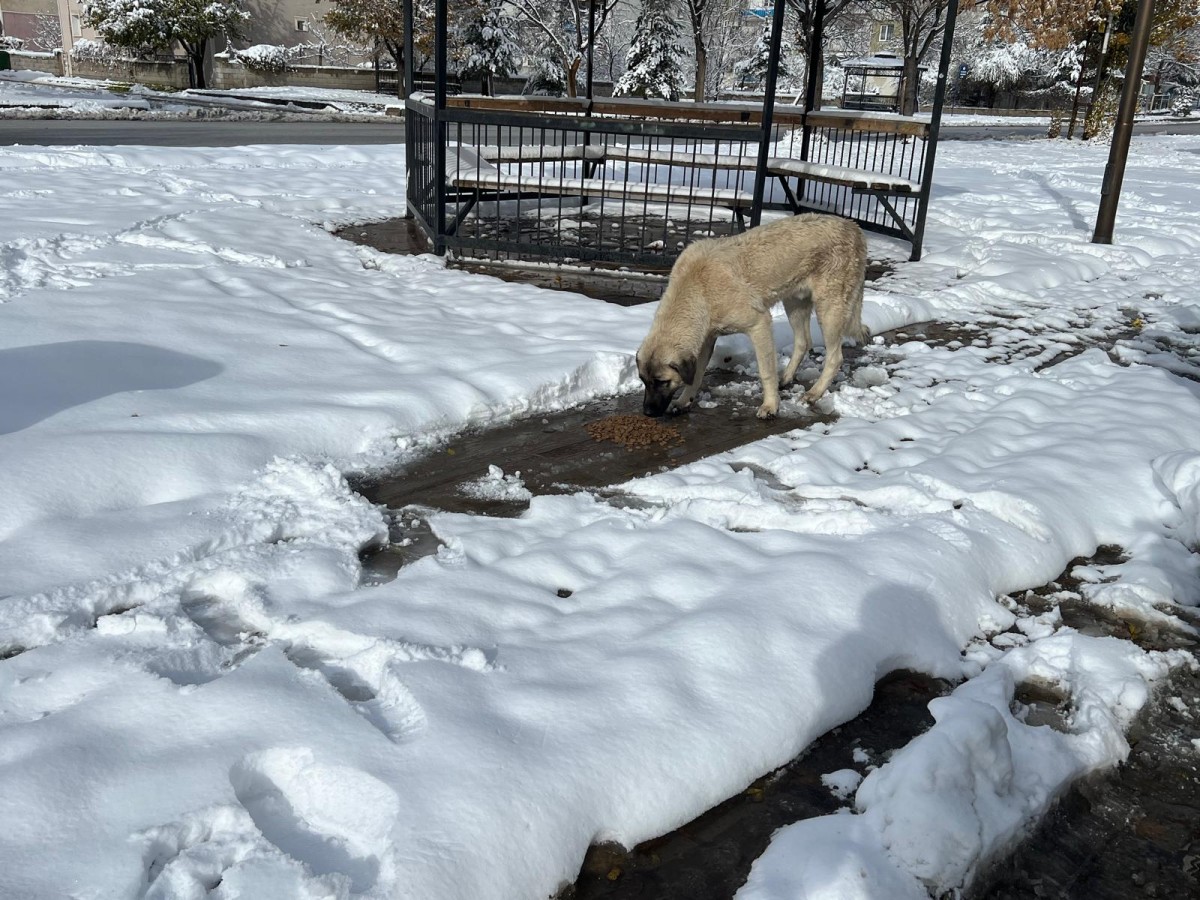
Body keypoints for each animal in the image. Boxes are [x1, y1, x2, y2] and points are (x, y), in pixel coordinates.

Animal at [637, 213, 869, 420]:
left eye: (662, 382)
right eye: (643, 381)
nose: (647, 413)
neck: (698, 289)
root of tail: (853, 227)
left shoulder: (759, 324)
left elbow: (766, 371)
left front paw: (771, 406)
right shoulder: (705, 340)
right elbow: (696, 375)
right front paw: (684, 401)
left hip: (829, 309)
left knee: (835, 356)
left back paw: (814, 393)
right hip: (795, 303)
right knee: (803, 341)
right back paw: (786, 378)